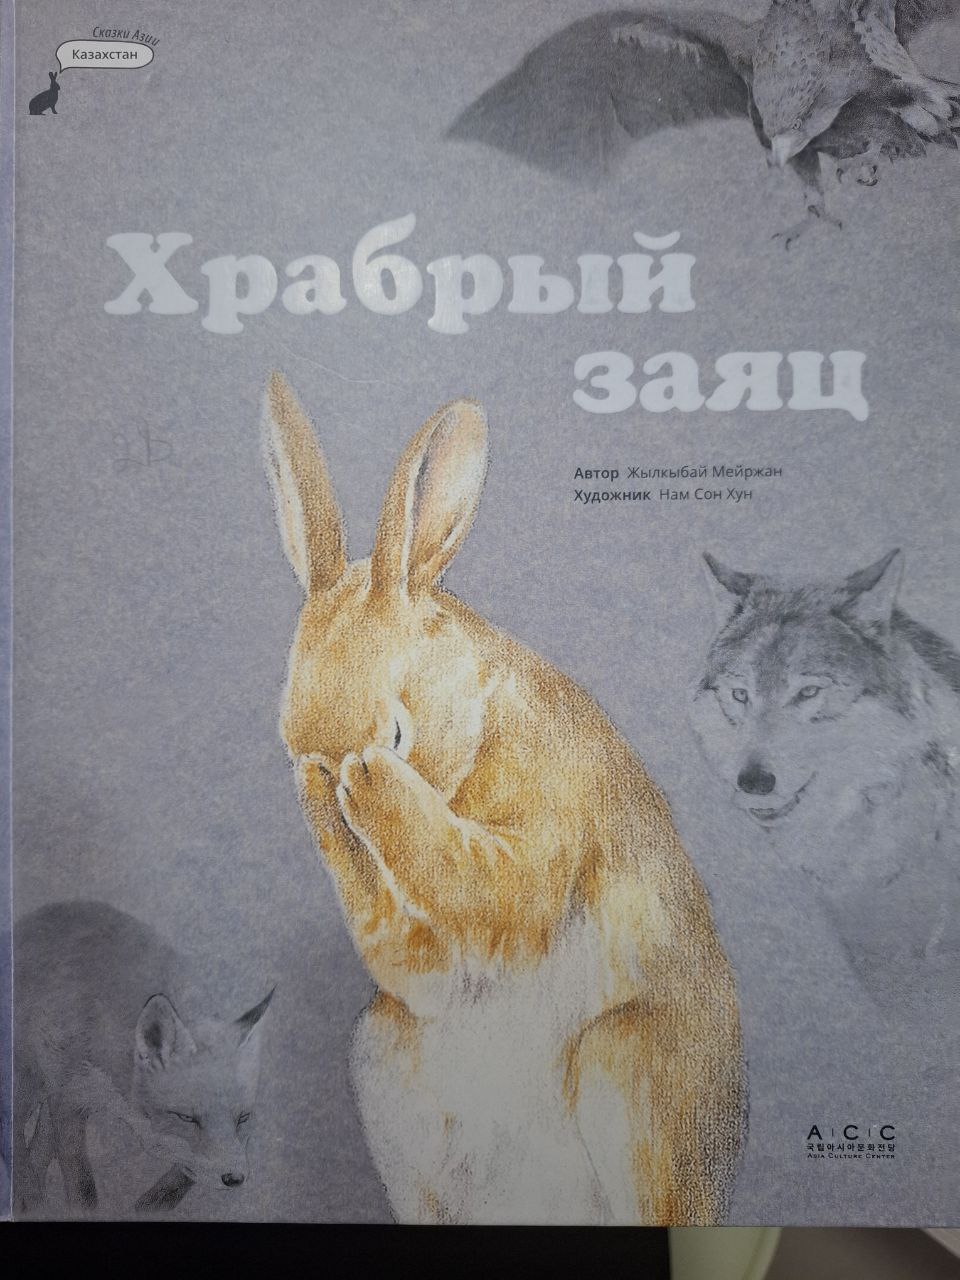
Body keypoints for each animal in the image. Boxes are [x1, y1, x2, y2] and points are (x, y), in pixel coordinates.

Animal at [263, 373, 745, 1225]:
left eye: (396, 732)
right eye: (290, 743)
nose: (332, 775)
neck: (473, 715)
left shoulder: (544, 828)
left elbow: (488, 880)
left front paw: (370, 785)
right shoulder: (421, 967)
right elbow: (408, 943)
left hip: (631, 1072)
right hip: (382, 1063)